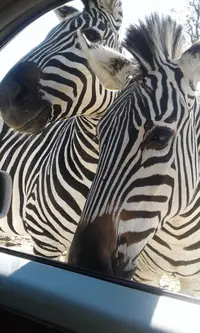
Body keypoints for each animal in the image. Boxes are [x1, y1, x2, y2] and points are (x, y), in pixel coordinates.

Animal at [68, 13, 200, 296]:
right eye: (100, 137)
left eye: (160, 137)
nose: (85, 263)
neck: (178, 228)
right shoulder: (144, 272)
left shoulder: (194, 284)